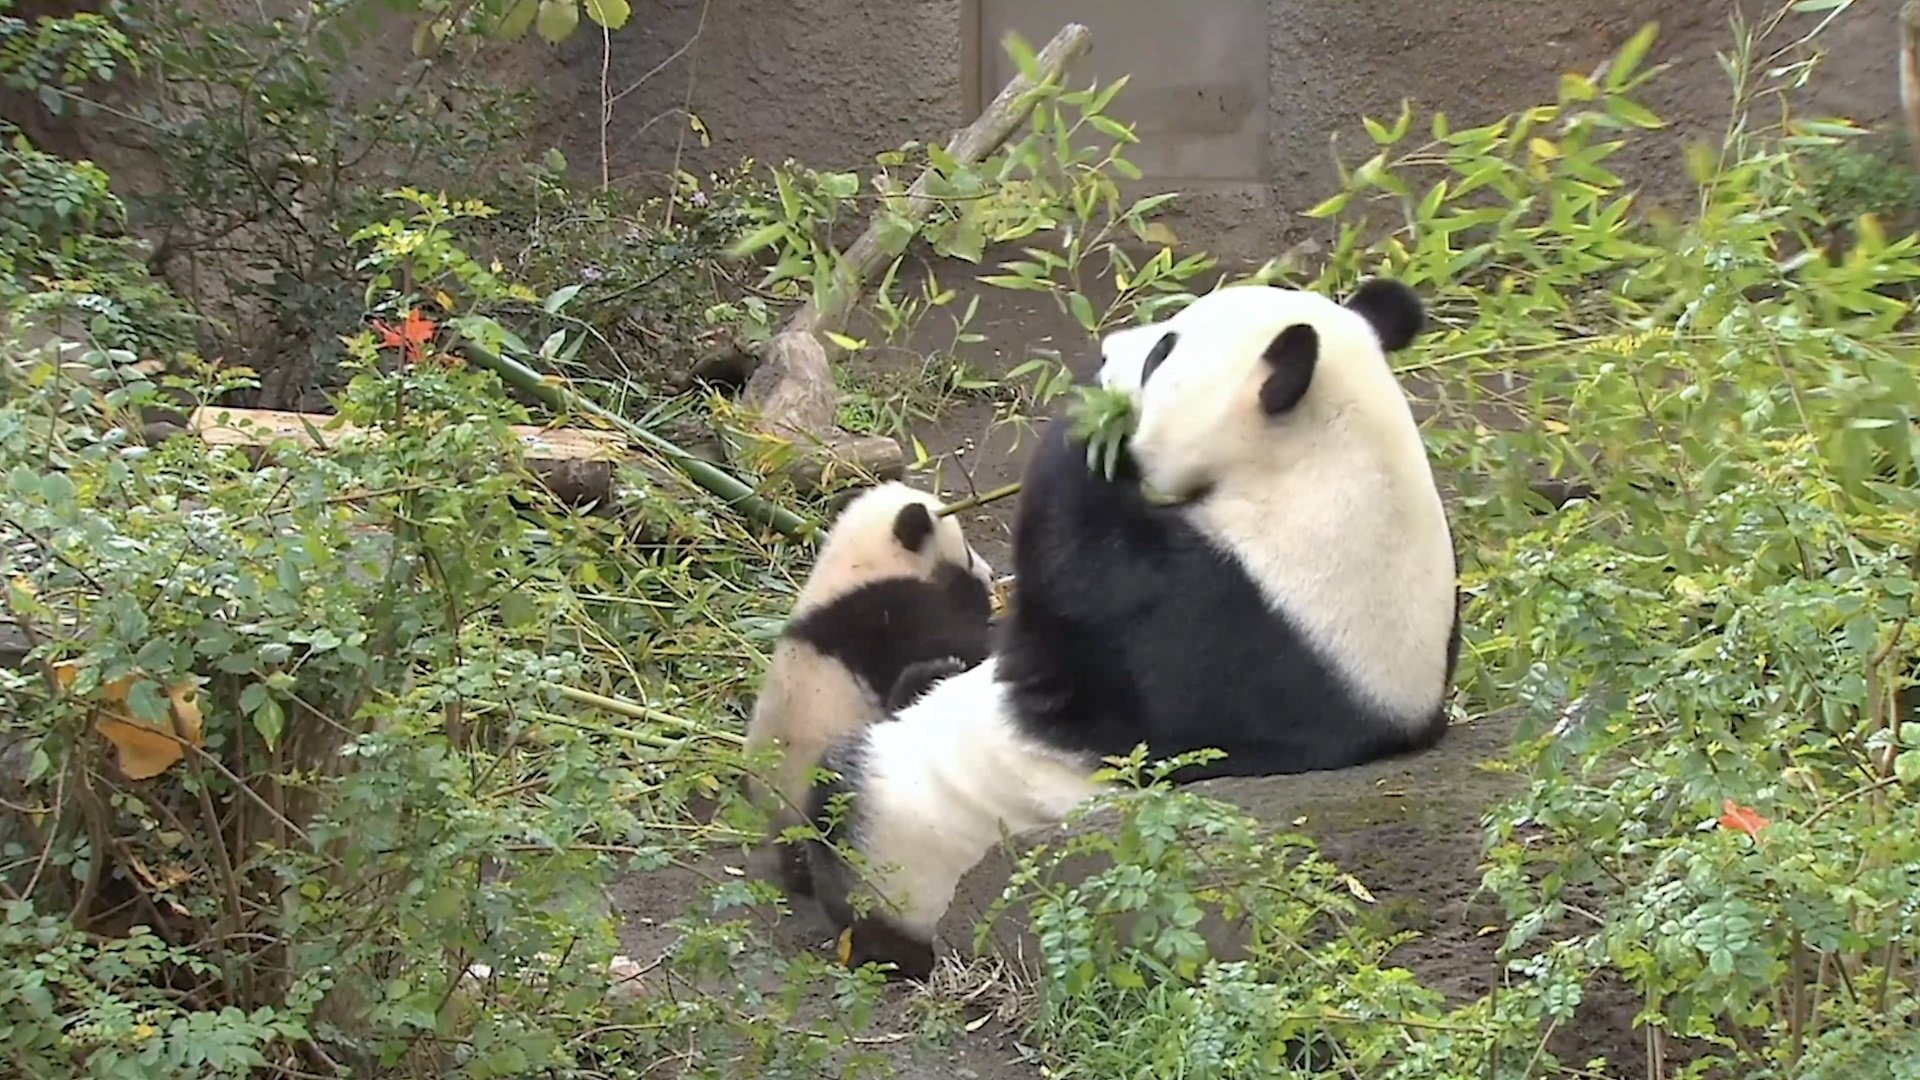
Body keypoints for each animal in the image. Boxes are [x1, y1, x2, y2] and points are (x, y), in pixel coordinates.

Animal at [803, 276, 1461, 980]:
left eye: (1162, 352)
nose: (1105, 350)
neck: (1333, 470)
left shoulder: (1224, 621)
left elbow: (1075, 568)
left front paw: (1089, 422)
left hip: (909, 842)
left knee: (839, 800)